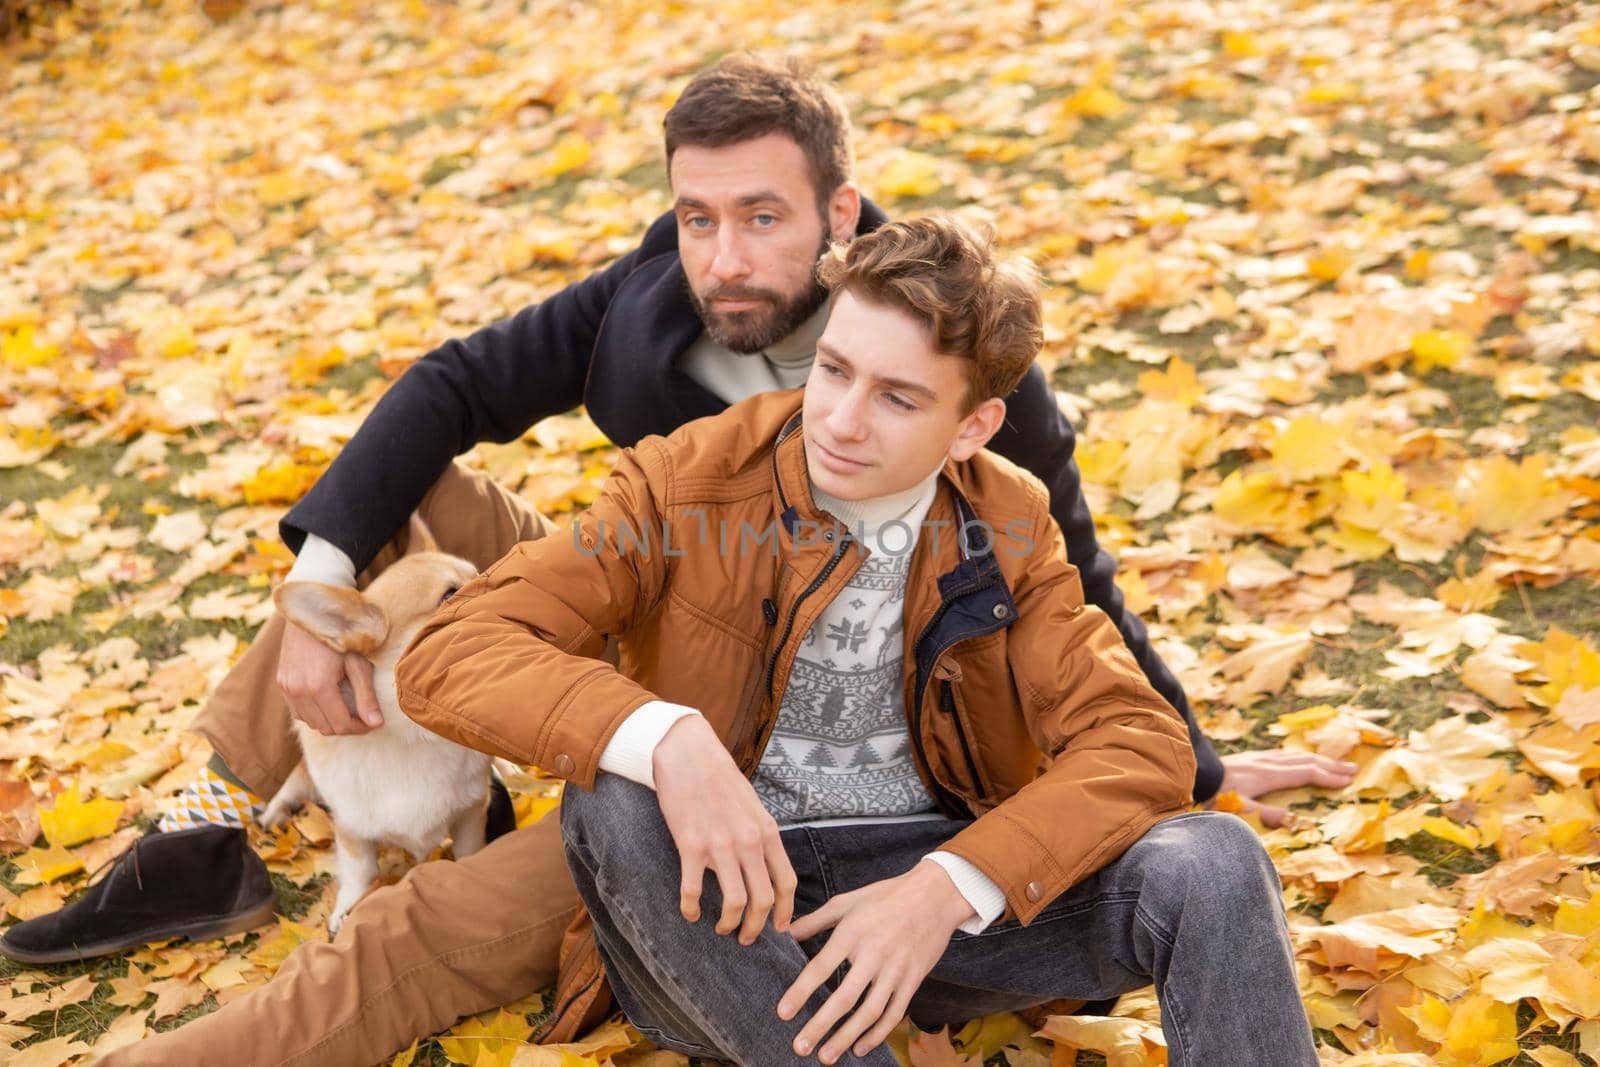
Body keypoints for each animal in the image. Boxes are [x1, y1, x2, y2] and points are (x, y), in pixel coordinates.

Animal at [265, 534, 489, 934]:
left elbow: (469, 853)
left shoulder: (471, 813)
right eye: (449, 594)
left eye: (478, 572)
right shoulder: (351, 827)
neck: (413, 735)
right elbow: (360, 871)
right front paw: (347, 909)